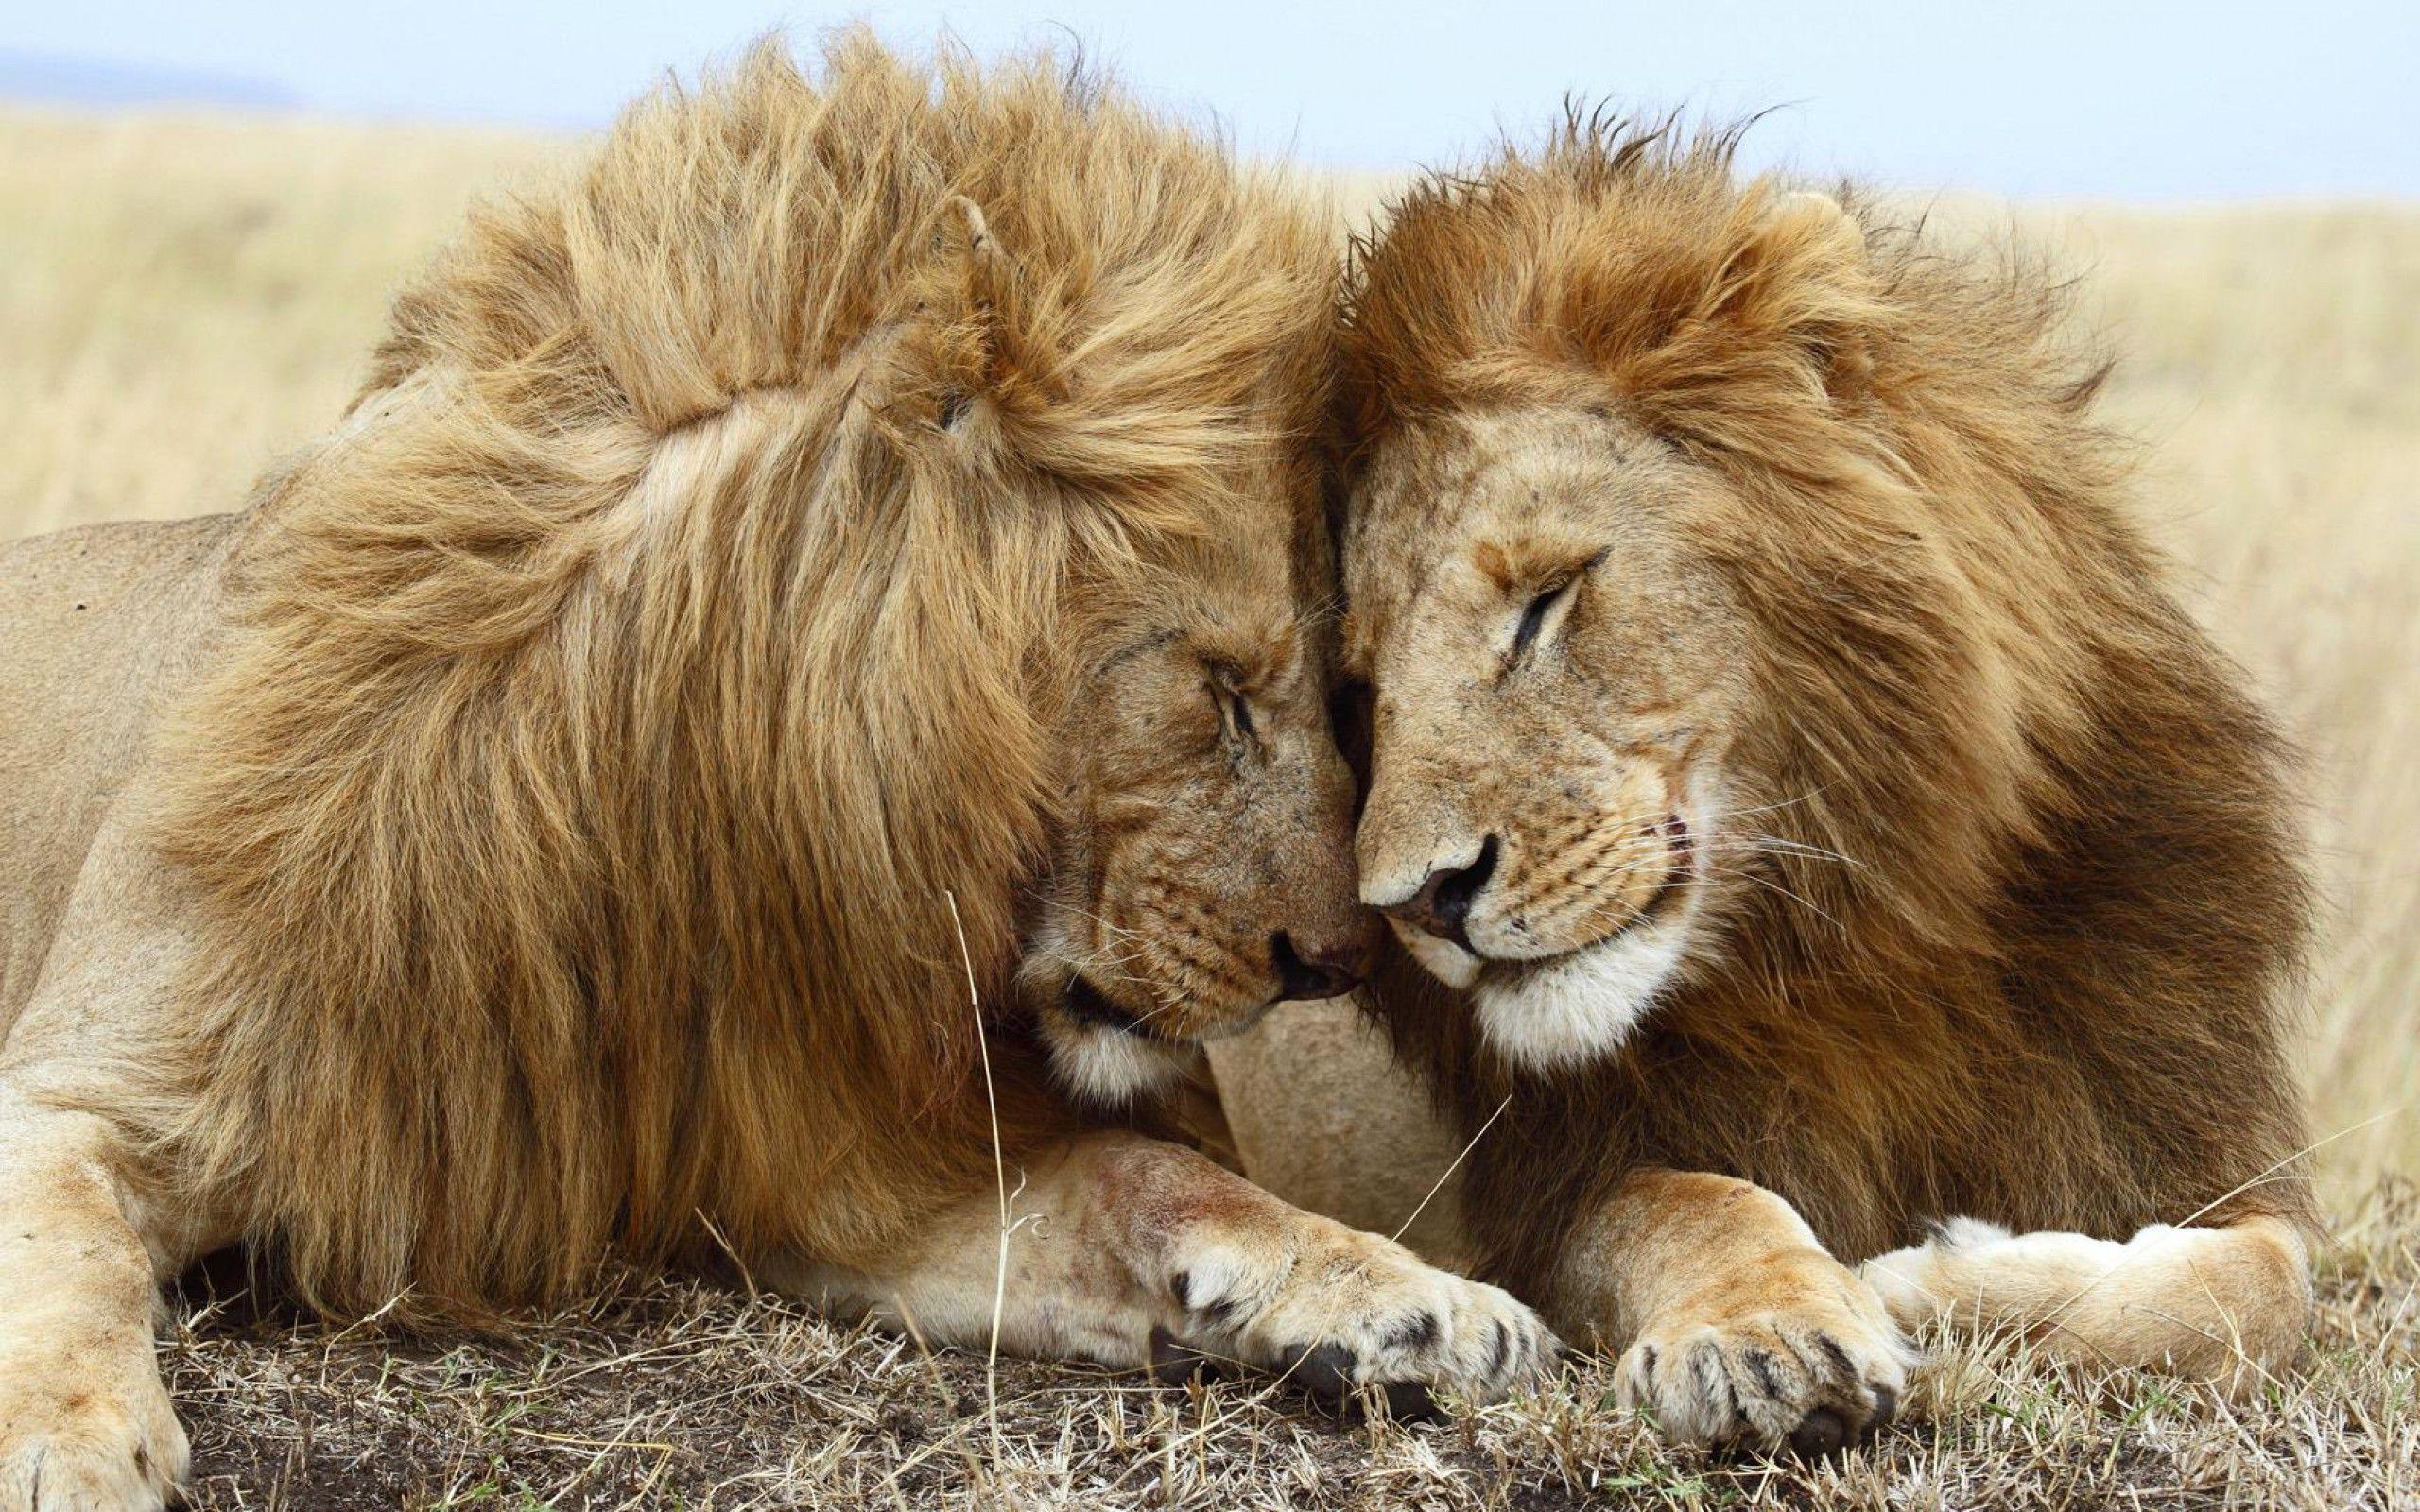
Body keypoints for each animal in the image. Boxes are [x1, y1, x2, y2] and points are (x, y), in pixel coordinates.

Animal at [0, 39, 1552, 1509]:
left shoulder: (834, 1162)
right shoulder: (89, 1083)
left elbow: (1153, 1176)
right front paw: (67, 1446)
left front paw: (1419, 1303)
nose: (1340, 961)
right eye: (1223, 688)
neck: (658, 797)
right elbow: (58, 1248)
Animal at [1216, 121, 2317, 1454]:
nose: (1418, 900)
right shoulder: (1552, 1187)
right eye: (1364, 690)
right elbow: (1698, 1201)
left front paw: (1942, 1280)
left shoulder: (2179, 1129)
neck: (1858, 934)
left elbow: (2263, 1284)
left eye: (1545, 601)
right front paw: (1773, 1332)